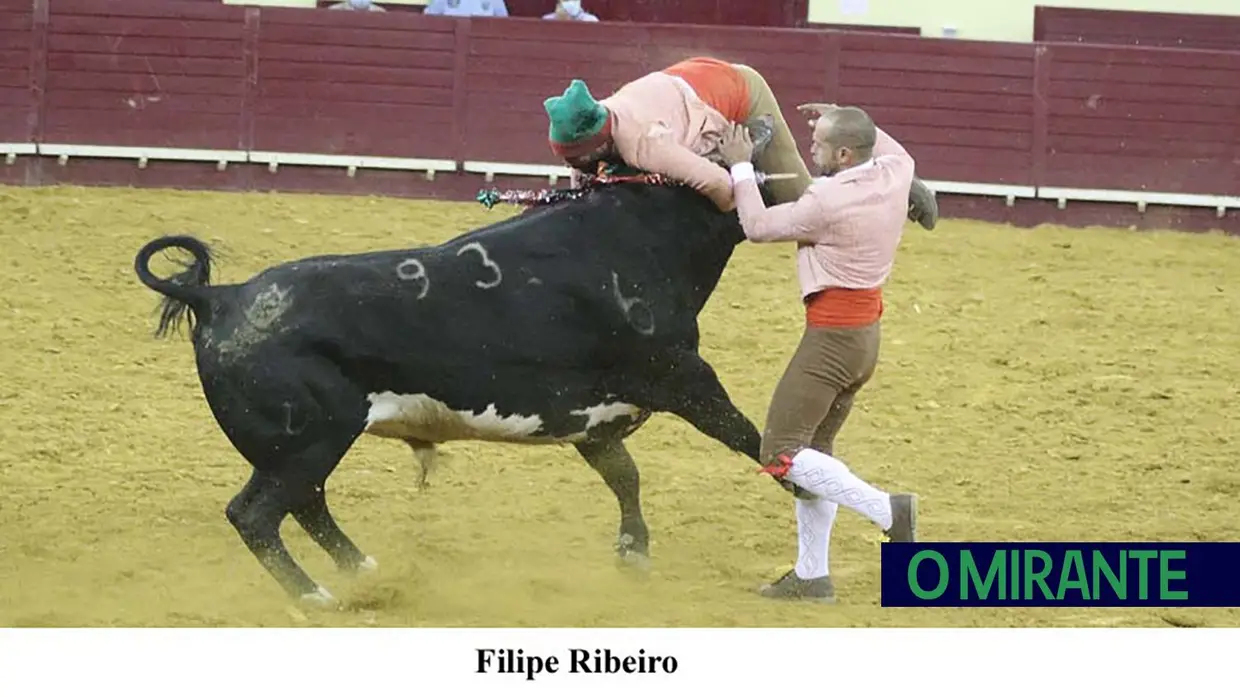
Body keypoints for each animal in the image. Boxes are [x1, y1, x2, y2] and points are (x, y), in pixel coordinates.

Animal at [133, 177, 773, 602]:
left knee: (305, 504)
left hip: (298, 449)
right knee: (257, 514)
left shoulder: (593, 420)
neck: (640, 235)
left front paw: (633, 553)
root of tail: (220, 298)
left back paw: (362, 569)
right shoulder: (683, 377)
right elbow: (752, 438)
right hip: (307, 441)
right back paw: (314, 596)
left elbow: (625, 476)